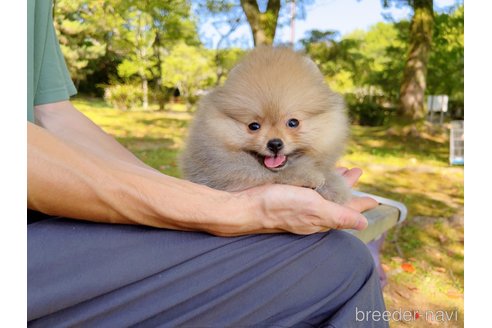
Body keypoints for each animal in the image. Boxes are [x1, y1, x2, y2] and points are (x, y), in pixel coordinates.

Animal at [180, 45, 350, 205]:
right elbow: (275, 174)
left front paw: (334, 185)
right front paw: (309, 176)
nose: (274, 144)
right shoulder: (225, 172)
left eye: (293, 122)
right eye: (254, 126)